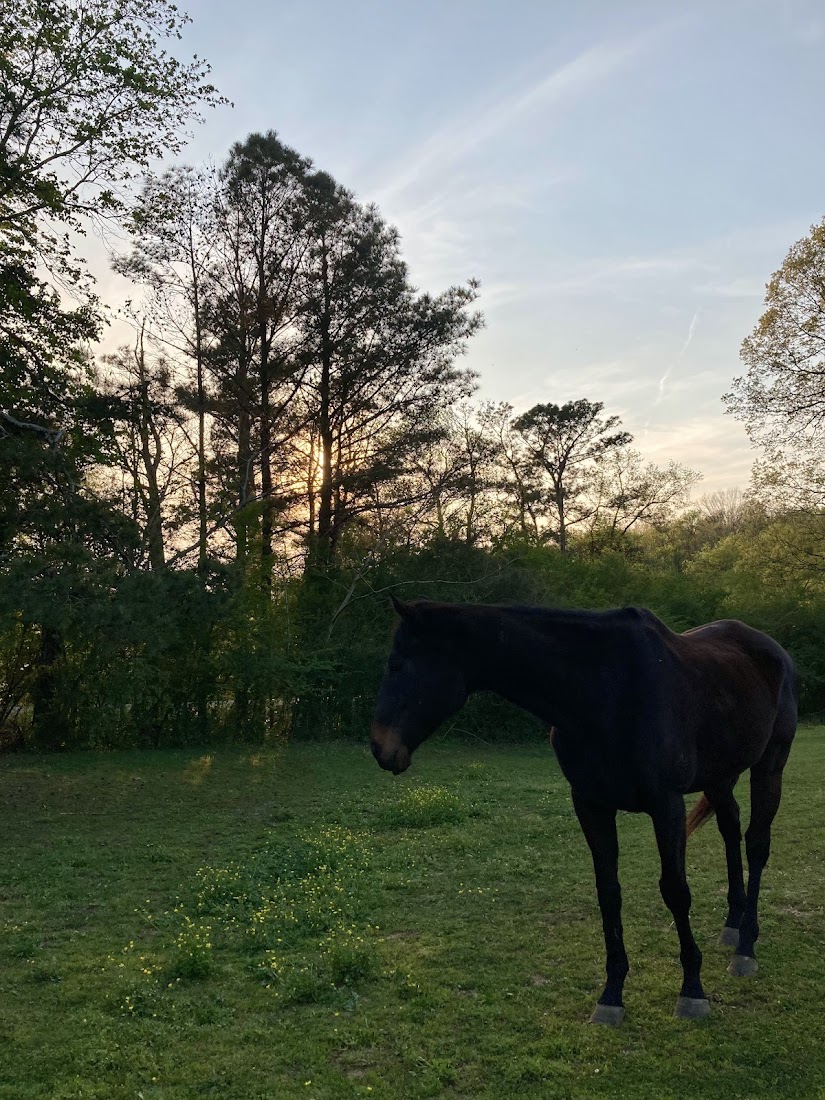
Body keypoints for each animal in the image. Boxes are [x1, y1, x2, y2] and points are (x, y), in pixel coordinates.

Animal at [370, 597, 798, 1024]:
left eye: (397, 665)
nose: (379, 747)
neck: (603, 693)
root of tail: (775, 651)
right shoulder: (591, 805)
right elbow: (608, 893)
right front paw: (612, 994)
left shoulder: (666, 805)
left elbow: (676, 890)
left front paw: (692, 989)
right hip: (720, 776)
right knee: (730, 828)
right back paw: (732, 925)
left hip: (769, 766)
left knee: (756, 844)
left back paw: (745, 946)